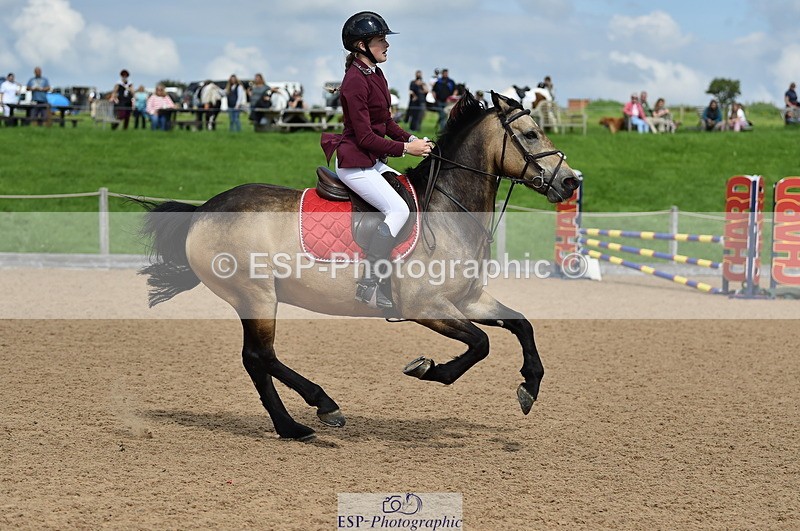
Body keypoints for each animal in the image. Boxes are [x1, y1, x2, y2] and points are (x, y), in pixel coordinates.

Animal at [139, 90, 581, 441]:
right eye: (530, 134)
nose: (571, 181)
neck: (448, 211)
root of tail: (204, 210)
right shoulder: (425, 307)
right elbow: (481, 343)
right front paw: (427, 369)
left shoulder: (467, 300)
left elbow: (521, 325)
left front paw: (529, 387)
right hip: (256, 295)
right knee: (260, 356)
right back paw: (318, 409)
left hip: (256, 298)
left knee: (257, 359)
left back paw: (292, 426)